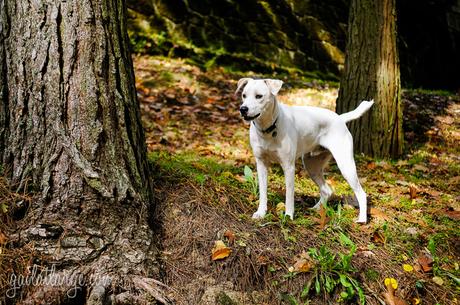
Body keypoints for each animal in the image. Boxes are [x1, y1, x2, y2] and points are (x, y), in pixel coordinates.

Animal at [237, 77, 374, 222]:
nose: (243, 109)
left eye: (259, 96)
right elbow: (263, 192)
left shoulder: (288, 167)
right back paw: (317, 209)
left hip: (346, 165)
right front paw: (261, 212)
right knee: (327, 190)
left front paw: (288, 215)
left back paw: (362, 219)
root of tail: (340, 118)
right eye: (244, 95)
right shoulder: (261, 164)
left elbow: (289, 195)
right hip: (311, 165)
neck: (268, 129)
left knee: (361, 194)